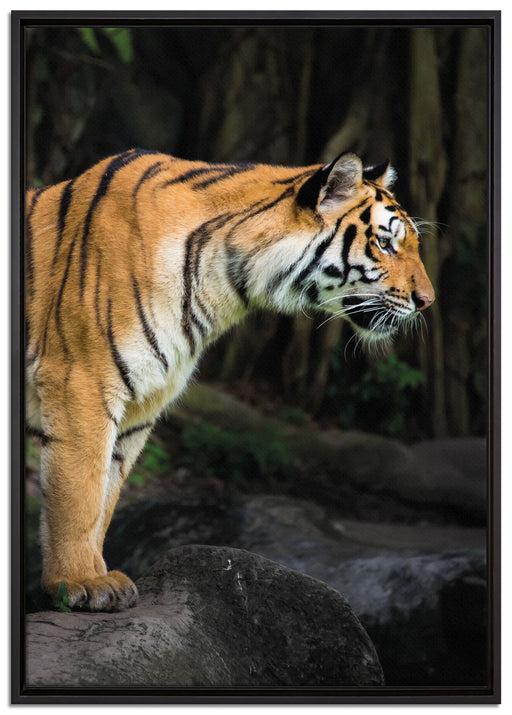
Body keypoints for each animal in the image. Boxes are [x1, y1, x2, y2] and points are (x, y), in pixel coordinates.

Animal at [25, 148, 434, 612]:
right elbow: (79, 494)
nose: (427, 301)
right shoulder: (82, 382)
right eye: (384, 243)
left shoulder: (140, 404)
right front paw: (81, 581)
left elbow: (105, 496)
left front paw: (99, 575)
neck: (224, 287)